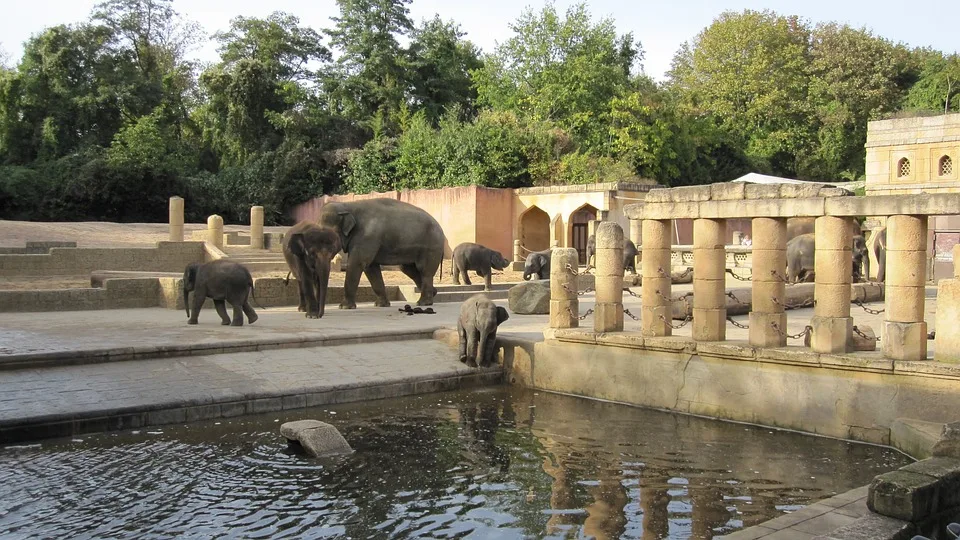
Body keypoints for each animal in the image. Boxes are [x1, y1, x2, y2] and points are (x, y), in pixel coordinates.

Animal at [318, 198, 446, 308]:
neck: (348, 205)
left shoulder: (367, 237)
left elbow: (357, 263)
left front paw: (344, 307)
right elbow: (371, 268)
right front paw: (381, 305)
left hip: (431, 246)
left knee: (425, 271)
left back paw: (423, 303)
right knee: (409, 269)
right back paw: (433, 293)